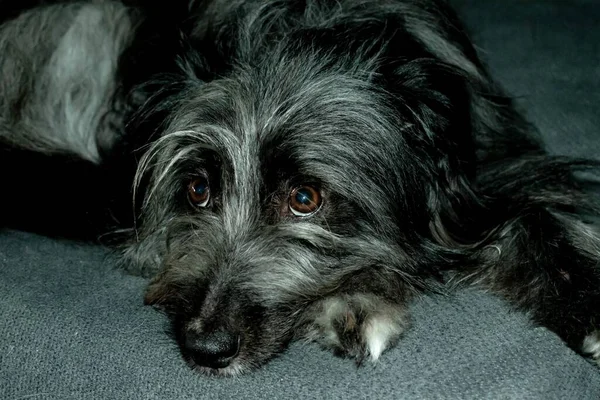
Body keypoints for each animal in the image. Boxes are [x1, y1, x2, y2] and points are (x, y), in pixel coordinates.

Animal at [1, 0, 600, 376]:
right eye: (197, 190)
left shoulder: (489, 169)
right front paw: (355, 303)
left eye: (305, 199)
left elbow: (538, 216)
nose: (205, 349)